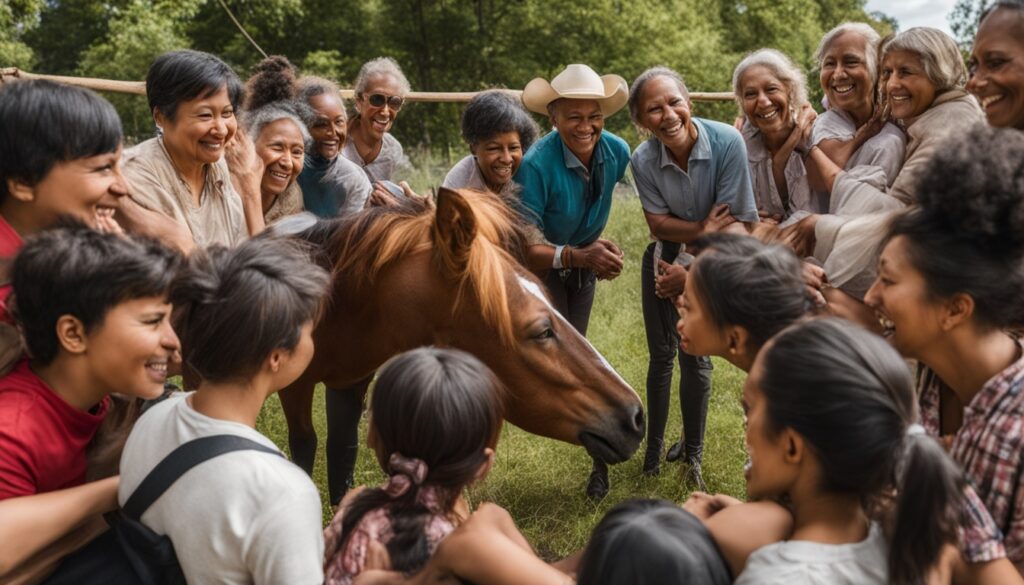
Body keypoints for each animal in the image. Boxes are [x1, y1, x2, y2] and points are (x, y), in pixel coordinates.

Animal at [276, 188, 643, 504]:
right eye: (541, 331)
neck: (335, 306)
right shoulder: (295, 387)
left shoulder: (351, 384)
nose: (636, 415)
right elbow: (305, 449)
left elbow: (341, 454)